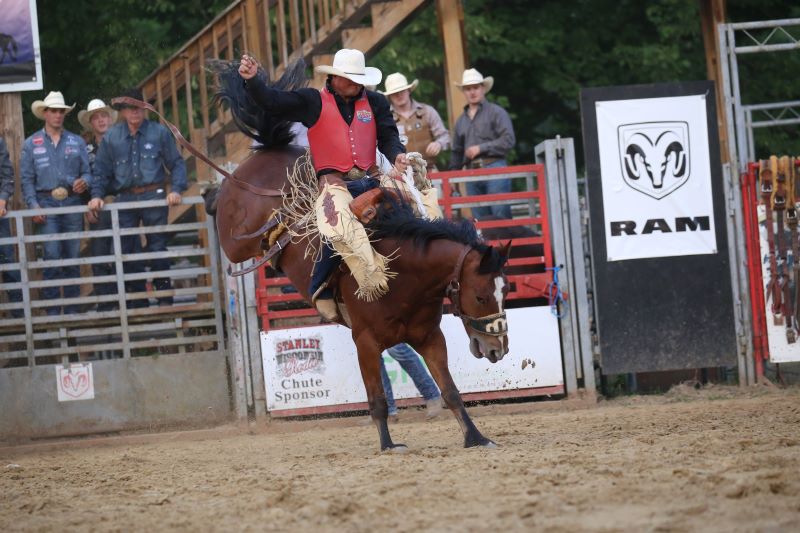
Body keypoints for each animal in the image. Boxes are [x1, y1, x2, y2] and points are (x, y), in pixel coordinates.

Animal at [209, 59, 510, 448]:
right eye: (481, 295)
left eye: (507, 291)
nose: (498, 348)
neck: (407, 275)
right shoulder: (365, 342)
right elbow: (377, 399)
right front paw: (389, 445)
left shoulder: (430, 337)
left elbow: (451, 392)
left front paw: (475, 437)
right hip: (236, 238)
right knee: (229, 235)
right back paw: (210, 197)